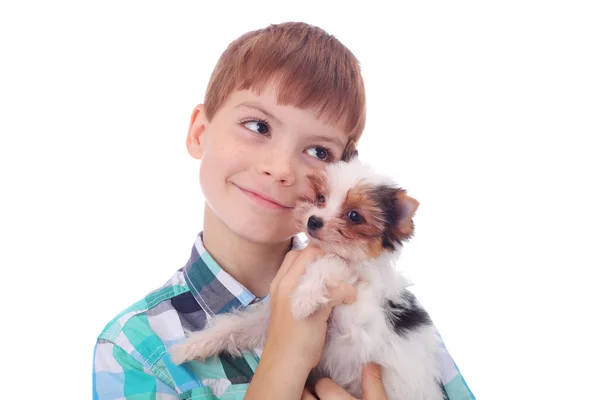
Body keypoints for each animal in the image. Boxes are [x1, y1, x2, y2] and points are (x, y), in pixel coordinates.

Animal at [171, 158, 448, 398]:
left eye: (355, 216)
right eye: (321, 198)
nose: (314, 220)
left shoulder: (358, 311)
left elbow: (329, 264)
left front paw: (304, 299)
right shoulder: (269, 318)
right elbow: (240, 324)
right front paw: (192, 346)